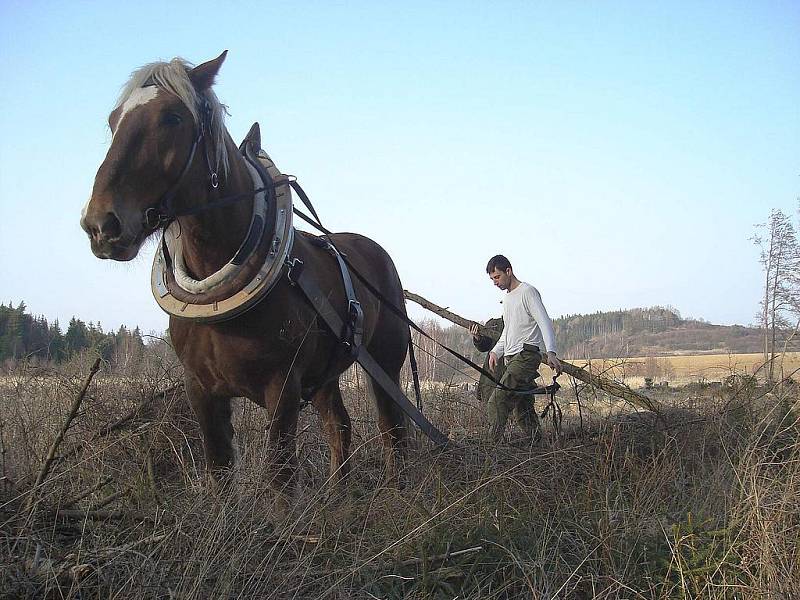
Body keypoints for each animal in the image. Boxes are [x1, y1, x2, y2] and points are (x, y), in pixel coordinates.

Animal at [81, 52, 410, 488]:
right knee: (338, 425)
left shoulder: (283, 389)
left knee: (393, 430)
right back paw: (339, 495)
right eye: (113, 120)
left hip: (385, 364)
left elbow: (280, 477)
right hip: (325, 374)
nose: (101, 225)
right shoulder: (202, 391)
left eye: (172, 117)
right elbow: (219, 469)